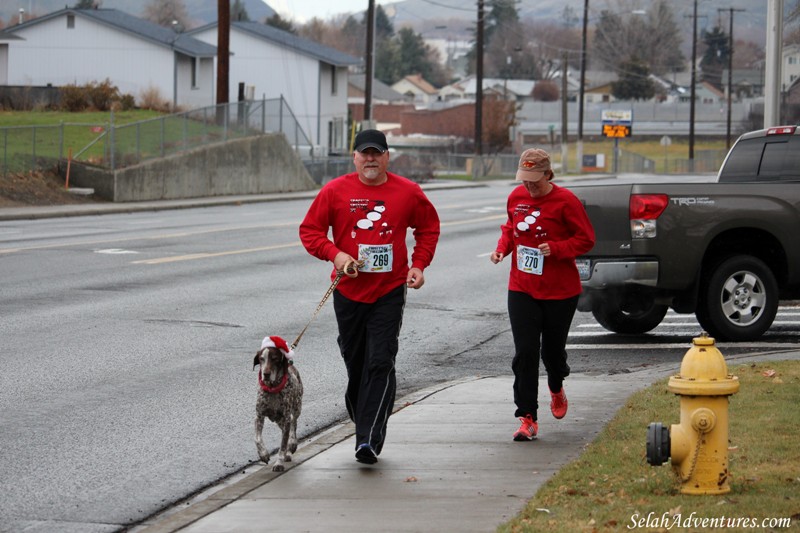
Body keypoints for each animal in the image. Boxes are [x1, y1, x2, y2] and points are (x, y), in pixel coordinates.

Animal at [253, 334, 304, 472]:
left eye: (274, 359)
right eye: (261, 359)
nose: (266, 374)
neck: (272, 389)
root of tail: (291, 364)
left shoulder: (286, 417)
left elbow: (283, 444)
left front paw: (279, 463)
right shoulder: (259, 416)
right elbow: (257, 438)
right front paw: (263, 454)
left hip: (296, 407)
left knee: (293, 424)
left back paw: (292, 444)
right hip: (277, 418)